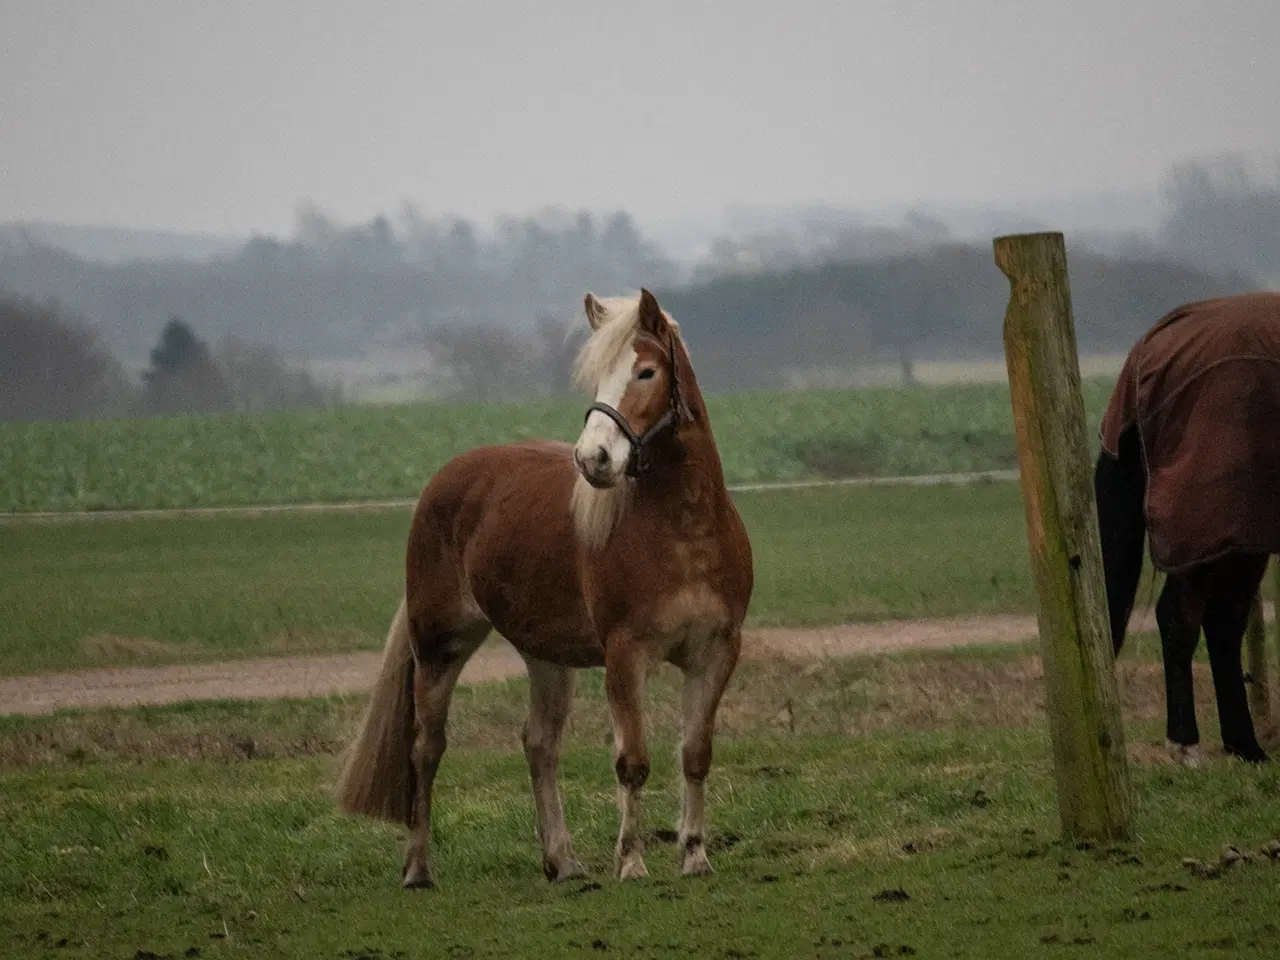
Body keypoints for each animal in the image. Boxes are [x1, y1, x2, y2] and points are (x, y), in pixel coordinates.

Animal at [335, 289, 752, 890]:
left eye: (646, 372)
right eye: (597, 375)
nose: (594, 459)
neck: (685, 532)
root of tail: (446, 478)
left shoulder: (715, 653)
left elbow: (694, 754)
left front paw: (695, 856)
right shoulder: (625, 657)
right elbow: (633, 762)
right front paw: (631, 862)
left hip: (547, 658)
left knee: (539, 745)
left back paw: (564, 861)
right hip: (440, 645)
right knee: (425, 749)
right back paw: (418, 868)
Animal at [1090, 291, 1280, 768]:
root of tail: (1147, 349)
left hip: (1238, 536)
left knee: (1223, 623)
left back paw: (1245, 746)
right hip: (1207, 530)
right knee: (1181, 617)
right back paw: (1187, 743)